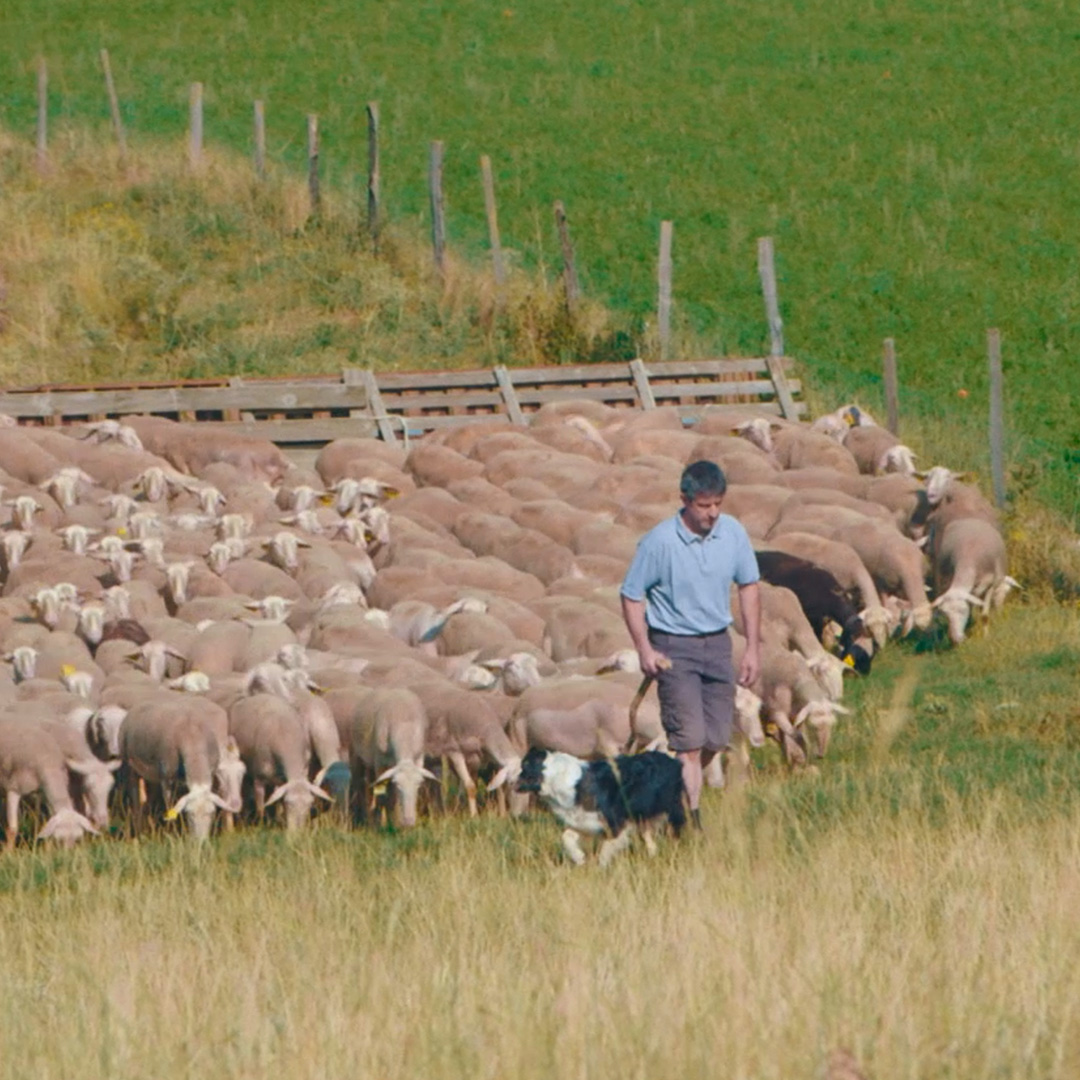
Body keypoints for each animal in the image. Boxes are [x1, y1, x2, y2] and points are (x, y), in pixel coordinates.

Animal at [514, 747, 682, 864]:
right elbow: (567, 837)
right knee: (649, 839)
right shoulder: (584, 821)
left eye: (524, 766)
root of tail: (671, 760)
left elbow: (605, 851)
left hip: (670, 812)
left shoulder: (615, 823)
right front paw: (579, 858)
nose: (513, 782)